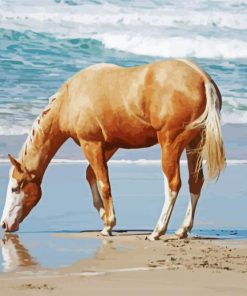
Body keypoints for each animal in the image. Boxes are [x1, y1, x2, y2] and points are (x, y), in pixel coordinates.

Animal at [0, 60, 225, 240]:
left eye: (15, 188)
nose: (4, 224)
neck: (70, 98)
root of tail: (202, 79)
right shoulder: (109, 145)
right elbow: (91, 175)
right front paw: (104, 215)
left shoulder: (91, 143)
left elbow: (103, 183)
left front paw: (108, 225)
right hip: (195, 144)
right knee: (195, 182)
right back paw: (182, 230)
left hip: (170, 144)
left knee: (173, 184)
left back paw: (157, 231)